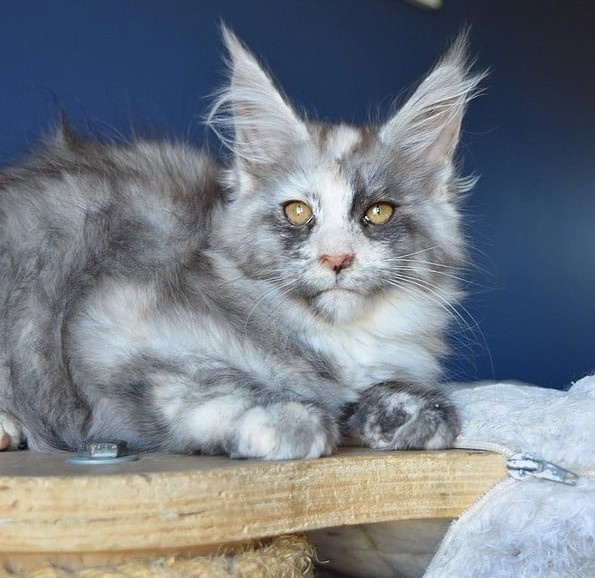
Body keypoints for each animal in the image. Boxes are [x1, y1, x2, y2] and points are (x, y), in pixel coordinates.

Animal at [0, 28, 484, 460]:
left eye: (378, 212)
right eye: (298, 212)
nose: (337, 258)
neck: (337, 338)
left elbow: (377, 392)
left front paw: (411, 411)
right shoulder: (107, 325)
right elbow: (214, 382)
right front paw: (287, 418)